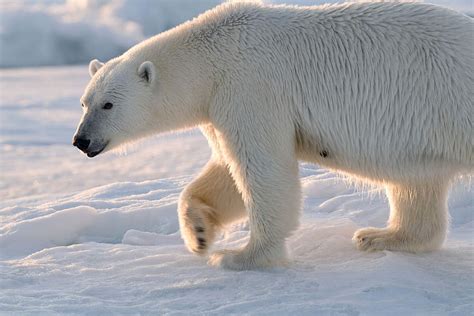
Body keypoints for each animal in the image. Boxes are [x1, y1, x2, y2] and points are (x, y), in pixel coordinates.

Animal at [74, 1, 474, 270]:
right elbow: (226, 171)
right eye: (84, 102)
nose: (81, 141)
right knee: (416, 184)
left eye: (108, 105)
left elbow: (262, 169)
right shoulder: (219, 106)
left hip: (453, 107)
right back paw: (380, 236)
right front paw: (200, 232)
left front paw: (240, 257)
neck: (212, 56)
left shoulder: (250, 87)